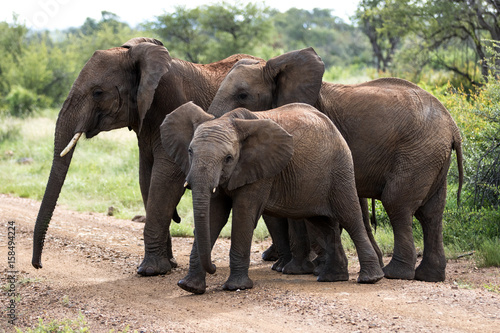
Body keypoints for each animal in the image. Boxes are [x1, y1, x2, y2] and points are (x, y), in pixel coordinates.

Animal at [30, 36, 262, 274]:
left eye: (98, 92)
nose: (38, 265)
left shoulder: (171, 102)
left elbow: (165, 179)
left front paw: (150, 271)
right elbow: (146, 177)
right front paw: (167, 265)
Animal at [160, 100, 382, 294]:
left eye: (228, 158)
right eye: (190, 151)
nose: (214, 266)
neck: (227, 120)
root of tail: (333, 126)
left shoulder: (260, 172)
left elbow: (243, 215)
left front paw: (236, 287)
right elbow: (214, 216)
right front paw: (189, 287)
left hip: (340, 170)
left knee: (350, 217)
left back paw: (370, 279)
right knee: (322, 224)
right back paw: (331, 278)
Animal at [206, 49, 464, 282]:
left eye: (242, 95)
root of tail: (453, 127)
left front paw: (301, 270)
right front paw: (309, 268)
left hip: (418, 152)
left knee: (397, 204)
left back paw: (395, 273)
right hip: (432, 157)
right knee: (431, 213)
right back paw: (429, 276)